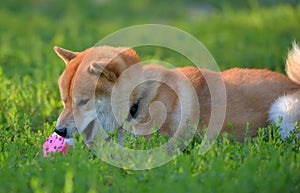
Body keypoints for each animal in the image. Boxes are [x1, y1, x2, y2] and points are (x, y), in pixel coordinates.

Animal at [53, 43, 300, 144]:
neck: (139, 102)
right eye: (65, 101)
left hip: (282, 109)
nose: (59, 131)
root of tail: (294, 82)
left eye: (83, 102)